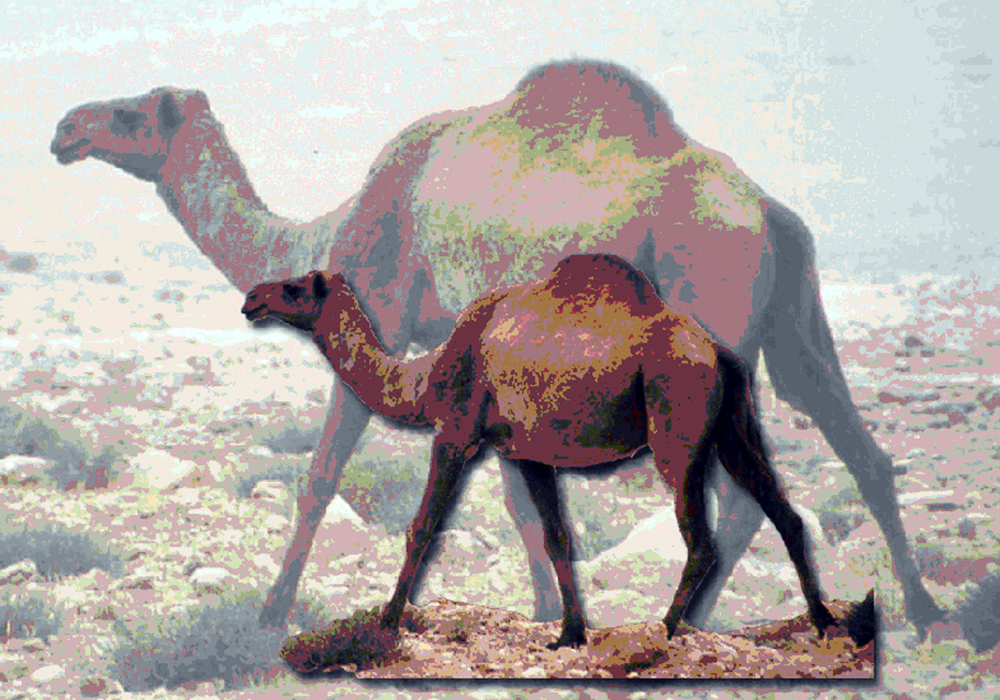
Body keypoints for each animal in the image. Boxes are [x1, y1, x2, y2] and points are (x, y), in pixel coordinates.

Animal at [240, 253, 860, 650]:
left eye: (295, 288)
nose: (251, 298)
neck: (426, 376)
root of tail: (717, 351)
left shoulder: (455, 430)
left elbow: (422, 527)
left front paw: (387, 621)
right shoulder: (525, 451)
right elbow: (557, 535)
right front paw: (568, 635)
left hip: (676, 422)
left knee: (702, 539)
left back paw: (663, 631)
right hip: (735, 424)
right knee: (783, 511)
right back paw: (824, 622)